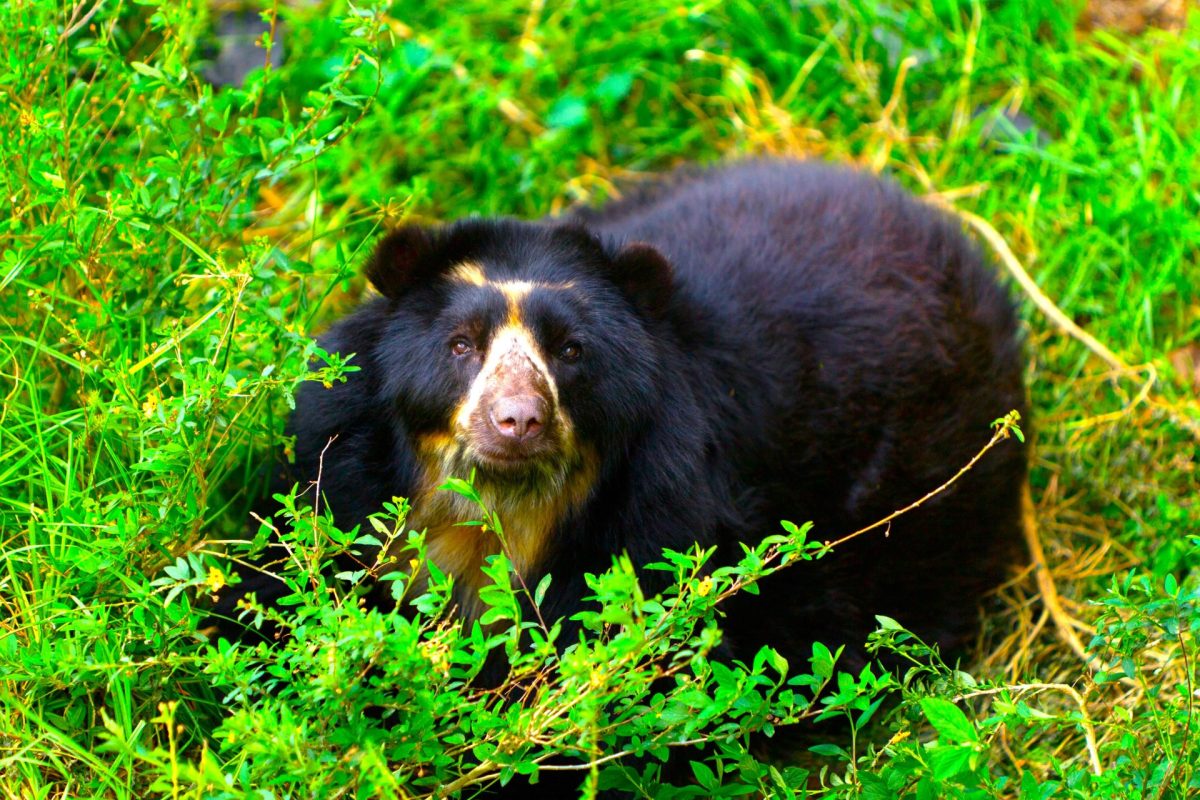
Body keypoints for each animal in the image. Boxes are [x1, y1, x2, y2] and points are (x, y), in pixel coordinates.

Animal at [212, 158, 1027, 679]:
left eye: (571, 350)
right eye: (461, 344)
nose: (518, 421)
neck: (497, 515)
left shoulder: (660, 516)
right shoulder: (339, 461)